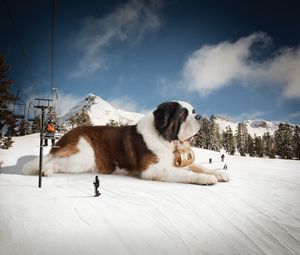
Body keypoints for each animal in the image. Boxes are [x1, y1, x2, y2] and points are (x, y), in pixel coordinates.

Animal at [23, 101, 229, 185]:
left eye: (194, 111)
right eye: (183, 114)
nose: (200, 117)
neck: (165, 138)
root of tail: (68, 134)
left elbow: (199, 167)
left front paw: (219, 174)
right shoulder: (153, 169)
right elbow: (186, 173)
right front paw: (206, 179)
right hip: (83, 156)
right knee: (55, 161)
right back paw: (46, 171)